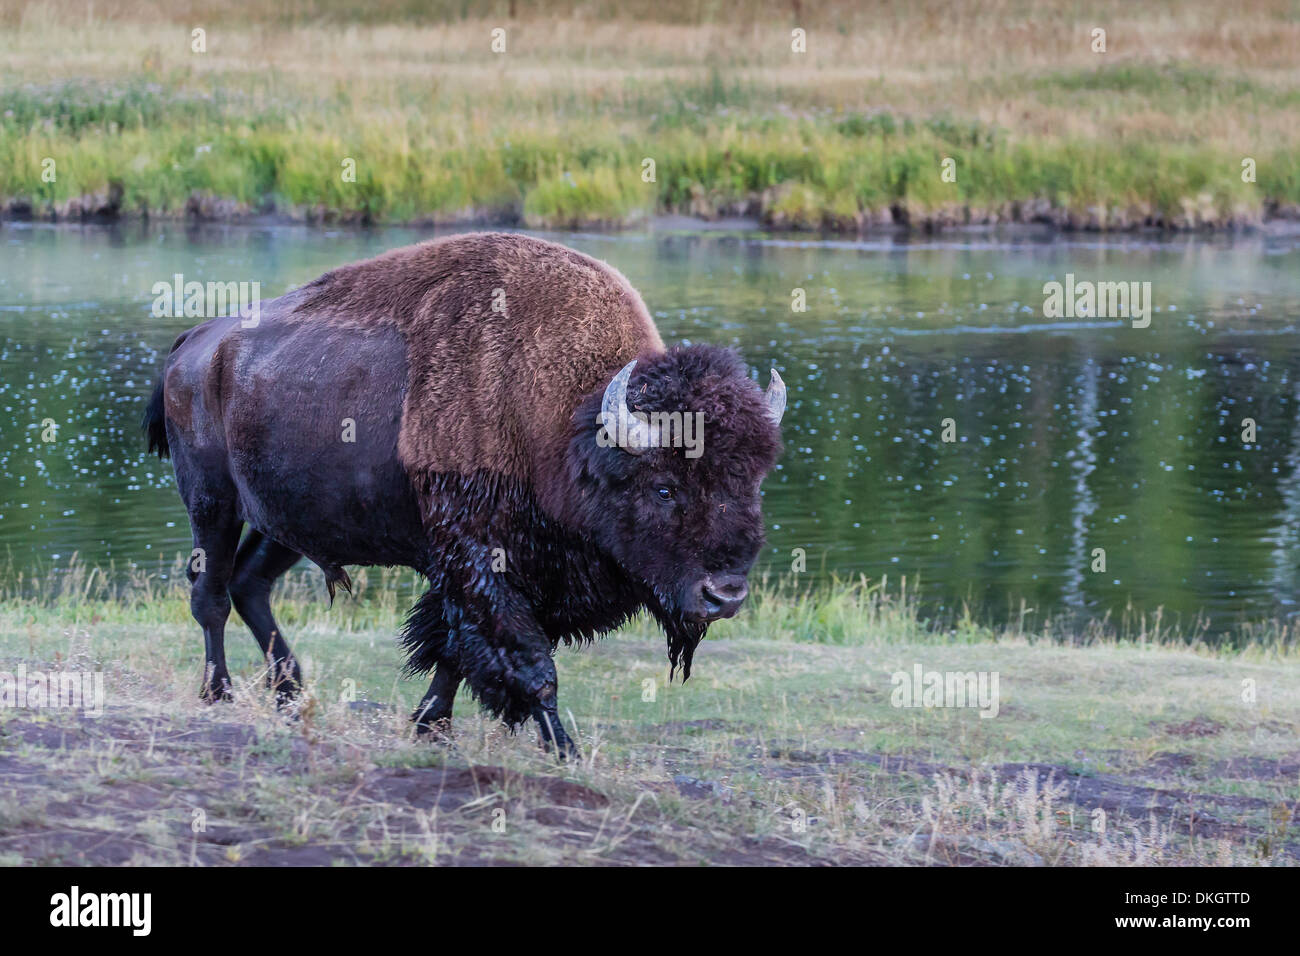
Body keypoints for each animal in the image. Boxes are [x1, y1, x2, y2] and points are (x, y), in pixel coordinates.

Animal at [147, 231, 785, 754]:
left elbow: (455, 652)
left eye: (752, 481)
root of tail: (196, 341)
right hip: (212, 504)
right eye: (664, 489)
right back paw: (220, 694)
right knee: (211, 593)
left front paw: (430, 725)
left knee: (250, 584)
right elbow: (528, 664)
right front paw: (564, 750)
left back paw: (291, 696)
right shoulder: (480, 561)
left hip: (289, 522)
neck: (565, 424)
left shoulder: (516, 574)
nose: (725, 595)